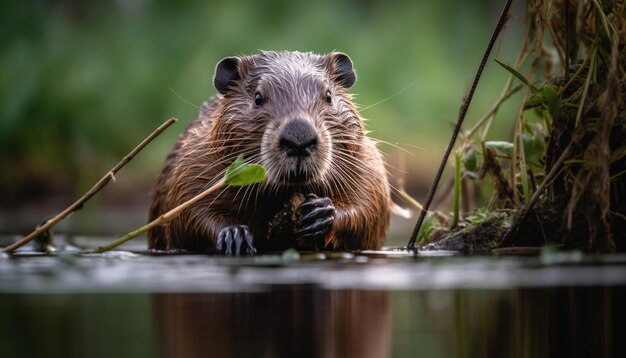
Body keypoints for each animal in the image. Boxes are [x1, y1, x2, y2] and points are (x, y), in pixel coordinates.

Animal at [148, 50, 388, 255]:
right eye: (257, 98)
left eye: (328, 96)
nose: (299, 139)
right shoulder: (193, 160)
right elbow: (187, 210)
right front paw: (234, 235)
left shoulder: (366, 163)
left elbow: (369, 206)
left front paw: (319, 213)